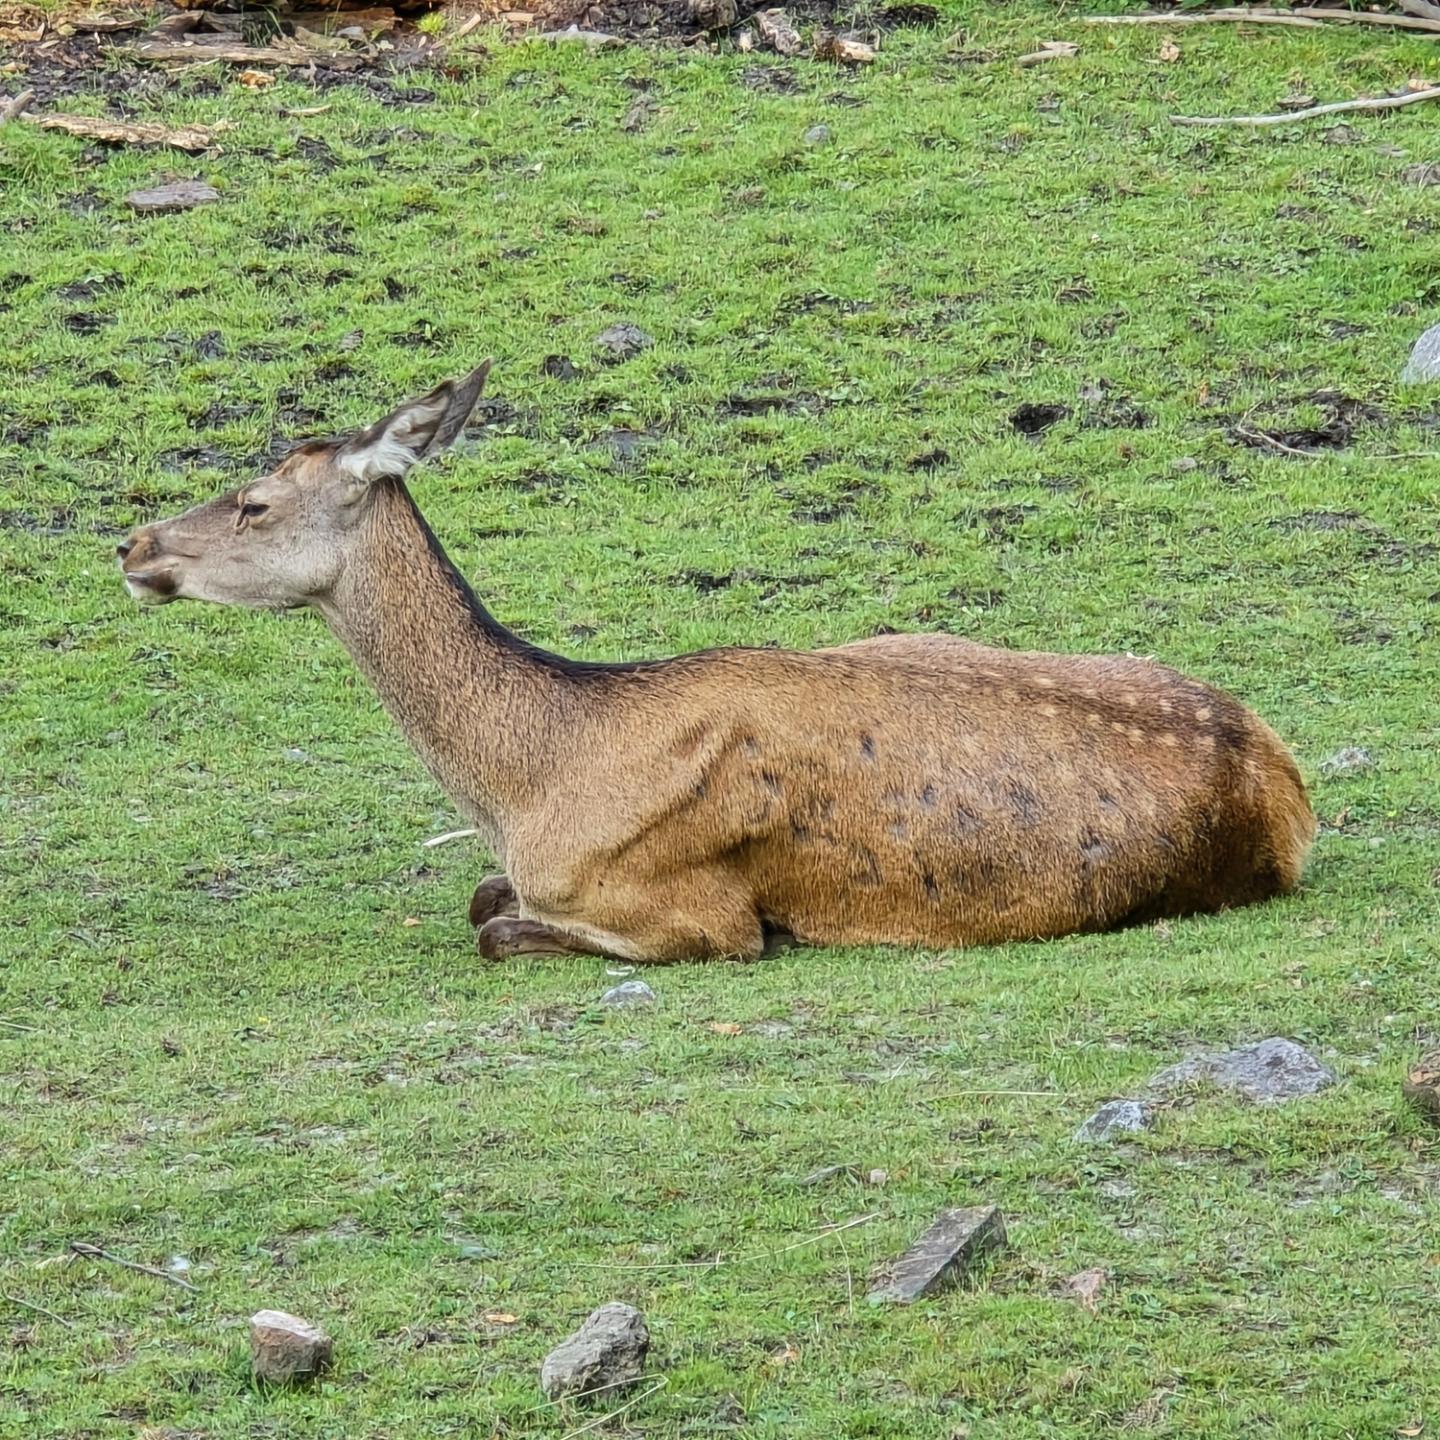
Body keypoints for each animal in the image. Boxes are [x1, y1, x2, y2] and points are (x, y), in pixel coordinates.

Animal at [120, 365, 1319, 961]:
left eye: (254, 500)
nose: (132, 546)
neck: (532, 778)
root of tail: (1285, 782)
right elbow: (482, 898)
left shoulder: (693, 913)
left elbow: (500, 928)